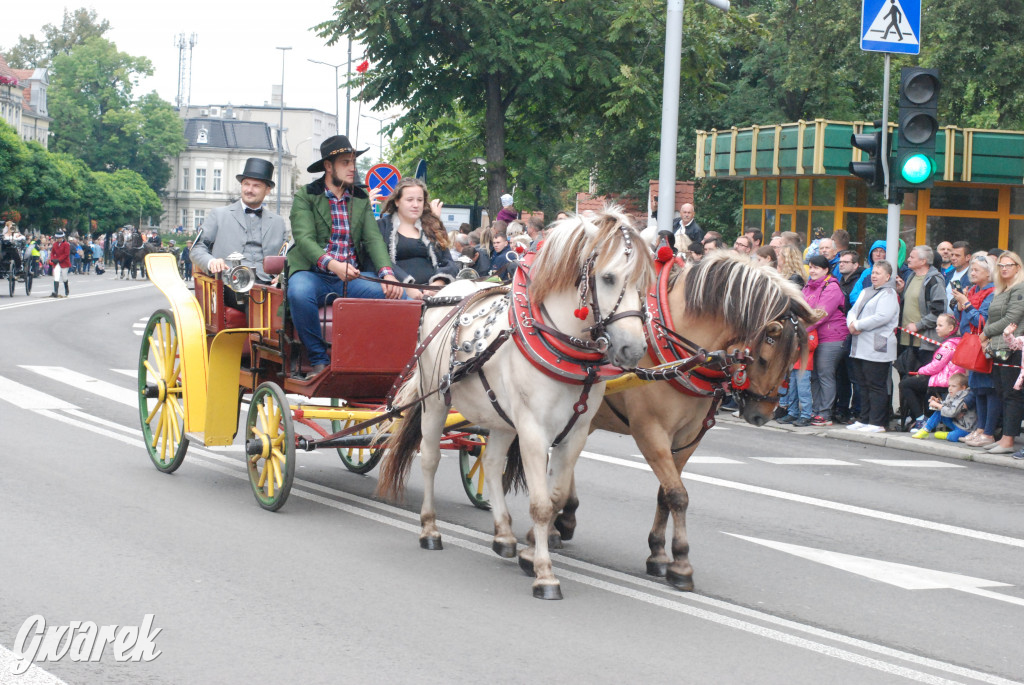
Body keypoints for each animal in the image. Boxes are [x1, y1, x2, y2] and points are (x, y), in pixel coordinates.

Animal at [378, 208, 655, 597]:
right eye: (609, 278)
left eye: (646, 280)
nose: (634, 349)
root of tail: (448, 289)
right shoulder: (534, 431)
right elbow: (539, 505)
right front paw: (544, 573)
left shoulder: (575, 433)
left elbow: (554, 499)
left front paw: (528, 553)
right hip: (436, 402)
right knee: (430, 459)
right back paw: (430, 529)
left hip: (500, 417)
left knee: (492, 464)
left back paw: (504, 535)